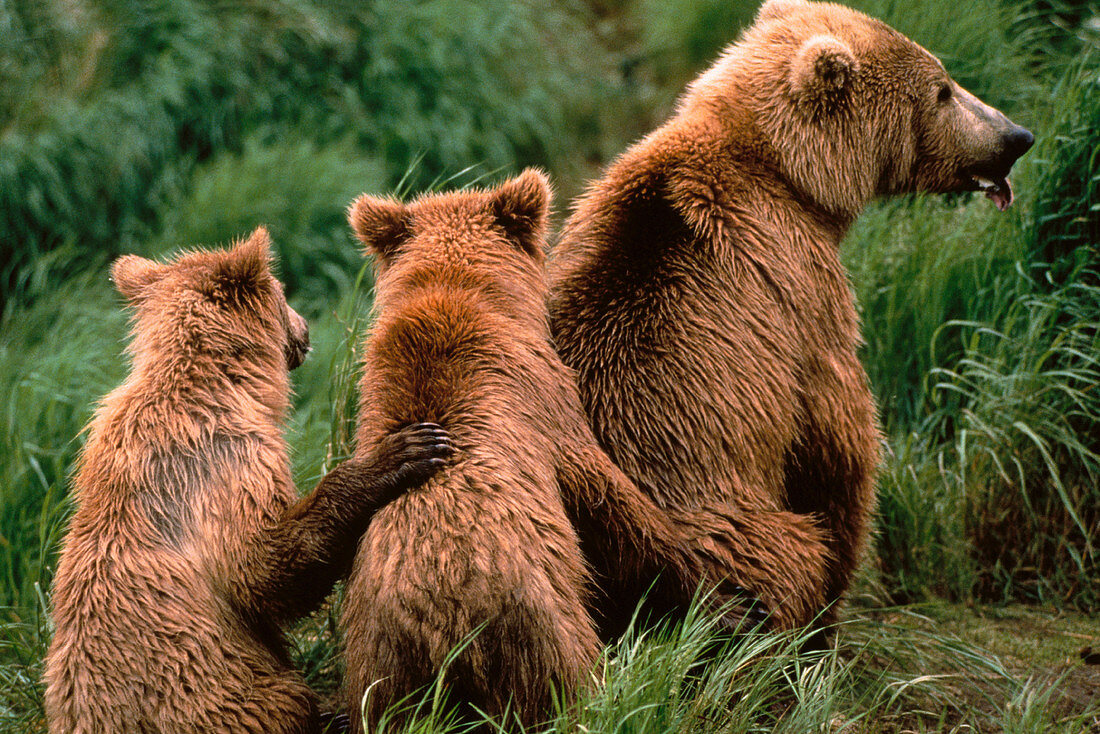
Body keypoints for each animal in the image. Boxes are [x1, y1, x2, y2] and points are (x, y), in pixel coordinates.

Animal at [45, 231, 451, 734]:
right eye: (282, 292)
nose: (305, 328)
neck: (221, 386)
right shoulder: (223, 465)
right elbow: (262, 570)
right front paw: (402, 451)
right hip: (229, 698)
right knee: (284, 698)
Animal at [341, 170, 765, 730]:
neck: (461, 291)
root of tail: (445, 620)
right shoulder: (548, 406)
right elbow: (617, 507)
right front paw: (730, 600)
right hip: (537, 628)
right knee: (569, 685)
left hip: (383, 668)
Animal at [550, 0, 1029, 633]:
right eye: (943, 89)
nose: (1016, 135)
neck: (786, 172)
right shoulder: (802, 291)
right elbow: (839, 446)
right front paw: (835, 605)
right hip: (718, 527)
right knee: (784, 557)